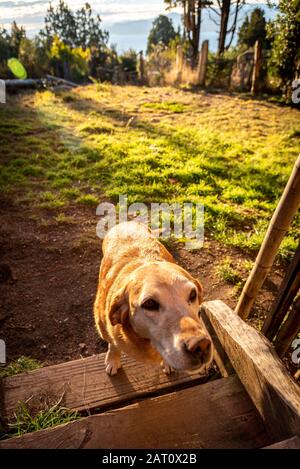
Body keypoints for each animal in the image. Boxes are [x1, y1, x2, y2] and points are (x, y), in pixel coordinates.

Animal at [94, 221, 213, 374]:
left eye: (193, 294)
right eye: (149, 304)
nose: (201, 345)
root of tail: (127, 222)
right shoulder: (106, 331)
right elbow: (113, 345)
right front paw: (112, 360)